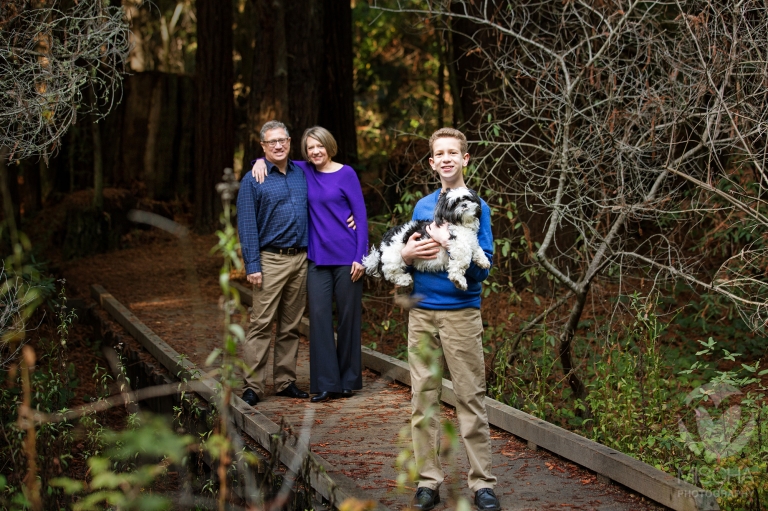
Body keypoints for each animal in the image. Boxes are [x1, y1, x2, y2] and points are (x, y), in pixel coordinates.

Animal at [362, 188, 492, 292]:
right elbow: (462, 262)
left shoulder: (470, 241)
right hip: (394, 256)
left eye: (467, 198)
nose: (464, 204)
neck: (461, 225)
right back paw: (404, 279)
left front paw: (483, 260)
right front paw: (459, 280)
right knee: (390, 273)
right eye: (454, 204)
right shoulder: (458, 244)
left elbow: (477, 249)